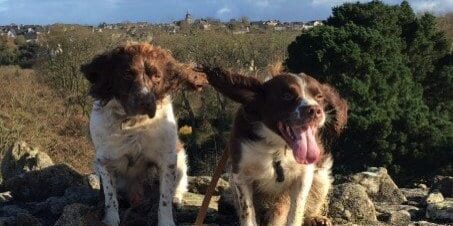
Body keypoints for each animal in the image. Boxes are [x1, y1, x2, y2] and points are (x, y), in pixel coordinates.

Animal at [81, 43, 207, 225]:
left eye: (157, 76)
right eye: (127, 74)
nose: (145, 101)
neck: (135, 123)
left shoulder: (167, 159)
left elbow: (164, 200)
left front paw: (166, 220)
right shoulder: (104, 161)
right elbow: (110, 198)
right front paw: (111, 219)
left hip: (180, 158)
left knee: (178, 186)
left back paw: (176, 199)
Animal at [201, 67, 346, 226]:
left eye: (319, 96)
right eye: (287, 95)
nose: (315, 110)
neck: (277, 147)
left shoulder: (304, 175)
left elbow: (296, 211)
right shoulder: (240, 174)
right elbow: (247, 212)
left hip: (320, 176)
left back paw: (316, 218)